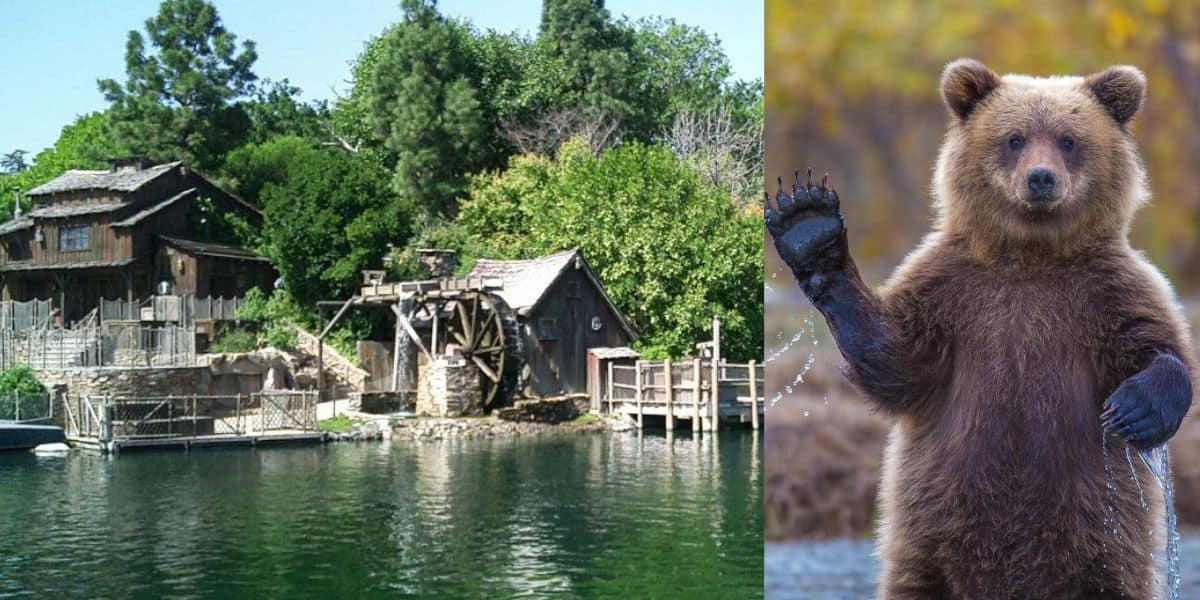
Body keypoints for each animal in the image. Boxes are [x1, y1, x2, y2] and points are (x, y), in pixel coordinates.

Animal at [765, 58, 1195, 599]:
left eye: (1068, 139)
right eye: (1014, 138)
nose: (1040, 178)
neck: (1030, 255)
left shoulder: (1108, 291)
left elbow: (1158, 344)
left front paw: (1134, 409)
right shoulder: (952, 291)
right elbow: (896, 359)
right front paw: (809, 225)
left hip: (1104, 546)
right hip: (929, 544)